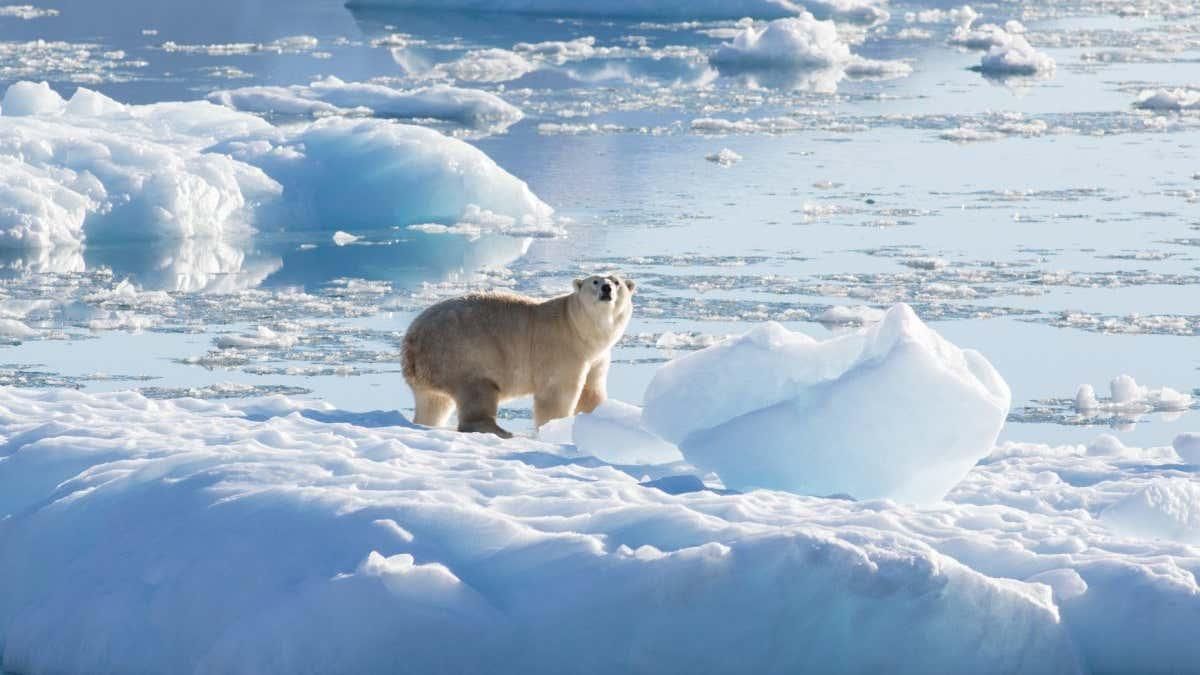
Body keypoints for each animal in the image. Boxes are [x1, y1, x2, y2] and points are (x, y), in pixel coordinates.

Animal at [400, 273, 638, 437]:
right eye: (595, 281)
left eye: (616, 281)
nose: (607, 288)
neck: (578, 328)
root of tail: (411, 340)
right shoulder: (561, 348)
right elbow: (556, 394)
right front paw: (555, 428)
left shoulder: (597, 357)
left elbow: (592, 391)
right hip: (463, 352)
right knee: (477, 391)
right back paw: (502, 431)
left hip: (432, 369)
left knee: (433, 403)